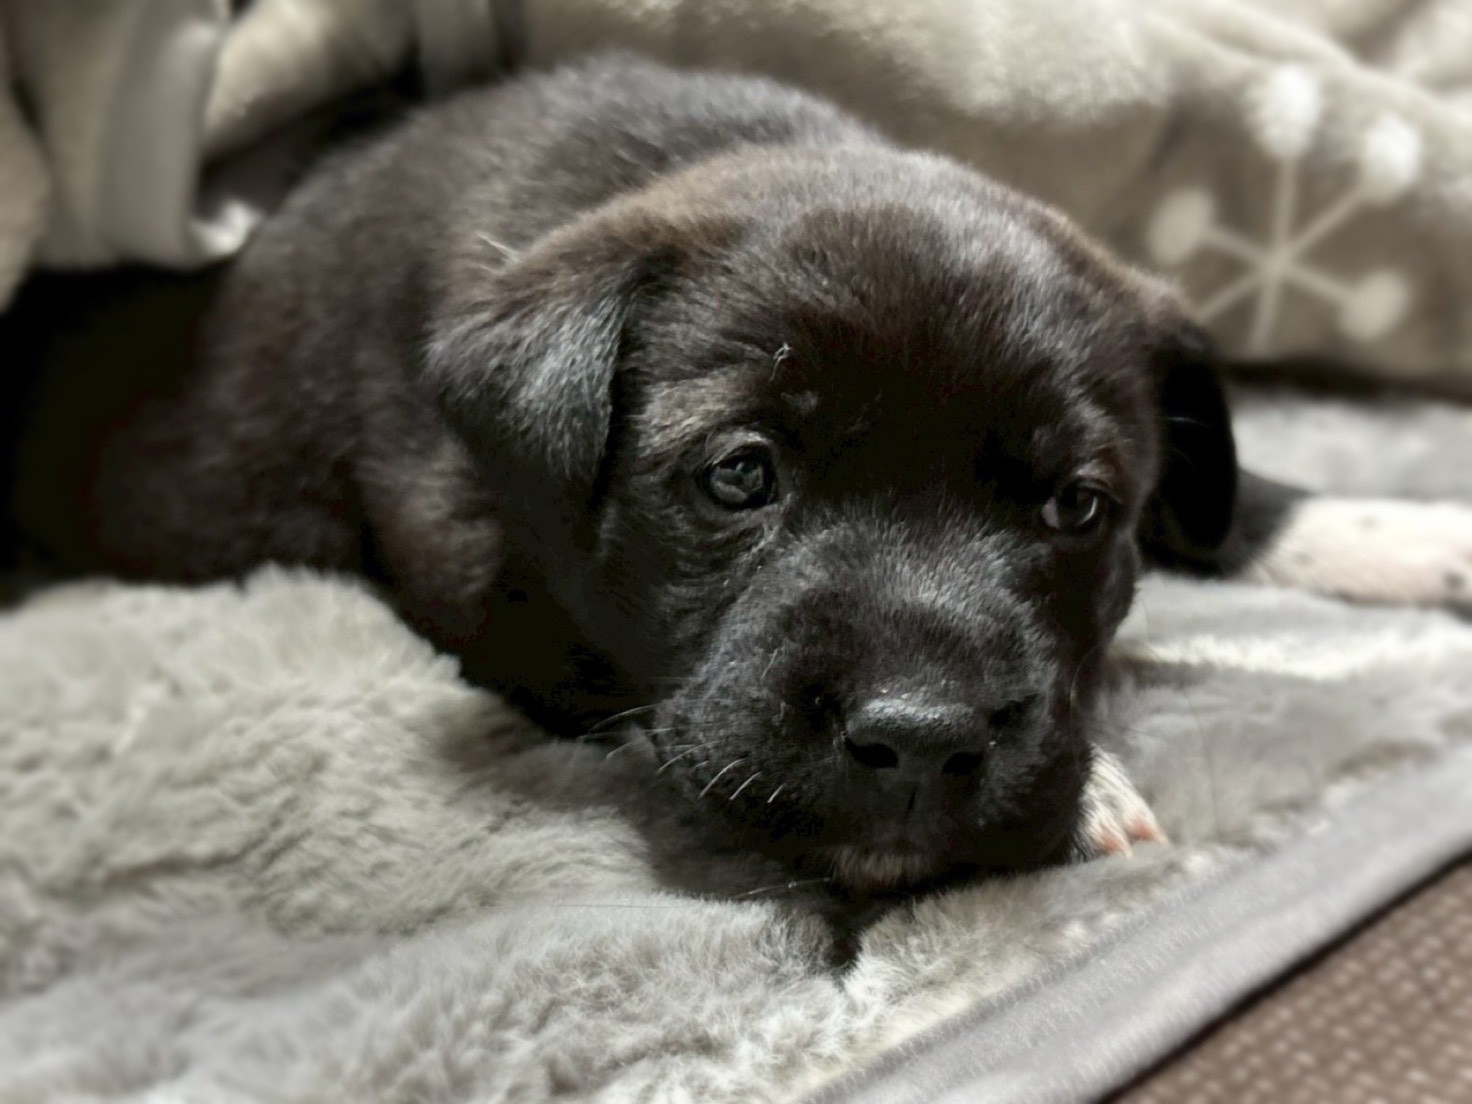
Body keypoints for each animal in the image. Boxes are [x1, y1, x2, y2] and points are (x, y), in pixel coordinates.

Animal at [4, 55, 1470, 896]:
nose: (920, 739)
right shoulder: (451, 546)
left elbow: (1221, 505)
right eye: (740, 475)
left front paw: (1402, 532)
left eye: (1078, 506)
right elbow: (627, 691)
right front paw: (1096, 787)